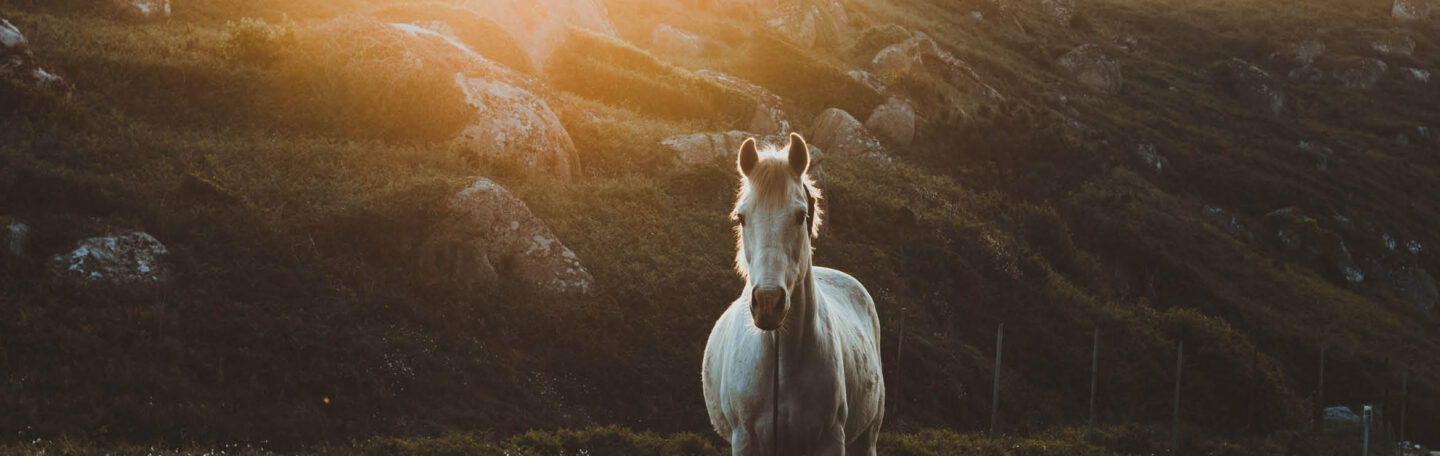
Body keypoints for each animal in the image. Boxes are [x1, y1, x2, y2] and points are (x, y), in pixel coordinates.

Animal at [702, 133, 881, 451]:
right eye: (741, 217)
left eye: (800, 215)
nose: (767, 302)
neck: (781, 364)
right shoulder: (744, 439)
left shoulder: (831, 439)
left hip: (867, 438)